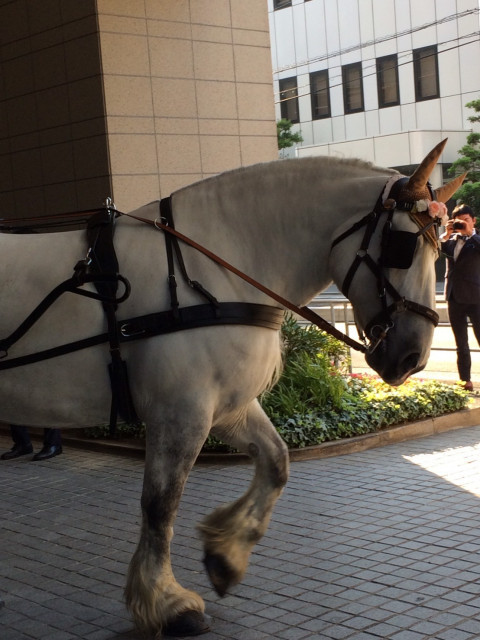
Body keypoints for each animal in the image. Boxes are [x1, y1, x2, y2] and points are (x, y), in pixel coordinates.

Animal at [0, 139, 464, 636]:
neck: (214, 264)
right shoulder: (180, 412)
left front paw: (225, 554)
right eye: (402, 246)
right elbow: (160, 505)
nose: (413, 357)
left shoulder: (227, 408)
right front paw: (166, 601)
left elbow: (276, 463)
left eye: (441, 246)